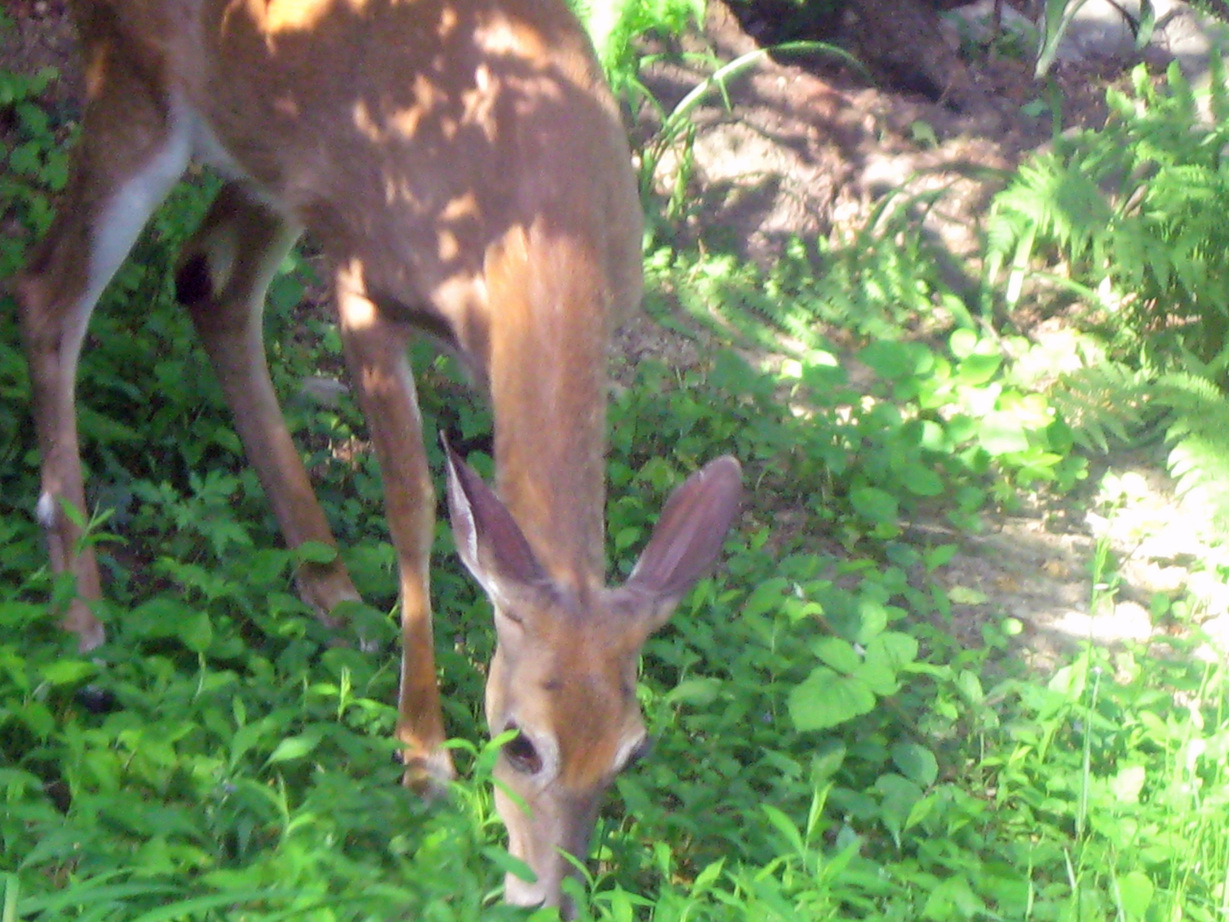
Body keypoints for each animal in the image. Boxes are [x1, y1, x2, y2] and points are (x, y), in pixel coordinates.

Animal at [14, 0, 737, 914]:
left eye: (632, 751)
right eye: (519, 742)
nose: (547, 896)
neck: (532, 219)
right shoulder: (364, 285)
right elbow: (414, 507)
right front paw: (422, 758)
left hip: (274, 163)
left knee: (210, 281)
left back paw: (332, 593)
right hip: (135, 90)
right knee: (49, 290)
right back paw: (81, 615)